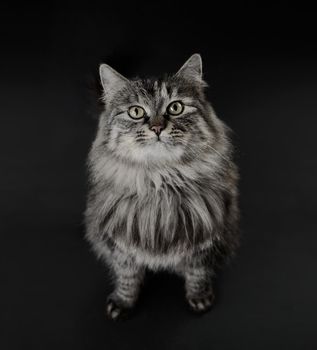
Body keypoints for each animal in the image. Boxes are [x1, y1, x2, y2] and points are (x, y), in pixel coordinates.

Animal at [85, 54, 238, 320]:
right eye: (136, 112)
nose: (157, 128)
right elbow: (127, 277)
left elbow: (197, 274)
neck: (161, 181)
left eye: (175, 107)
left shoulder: (204, 238)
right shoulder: (119, 244)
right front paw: (123, 303)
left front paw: (199, 298)